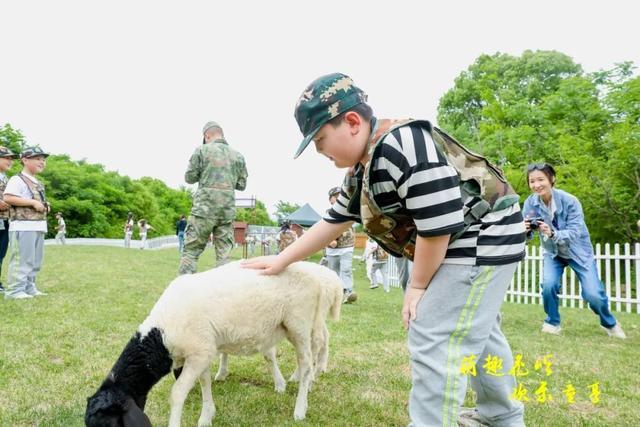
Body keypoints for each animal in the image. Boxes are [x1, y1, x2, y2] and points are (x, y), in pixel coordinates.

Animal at [88, 260, 344, 427]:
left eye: (109, 424)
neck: (161, 336)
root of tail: (319, 277)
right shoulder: (203, 349)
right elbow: (204, 382)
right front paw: (207, 416)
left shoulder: (199, 353)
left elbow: (178, 393)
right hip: (289, 326)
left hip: (300, 323)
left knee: (308, 362)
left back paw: (300, 408)